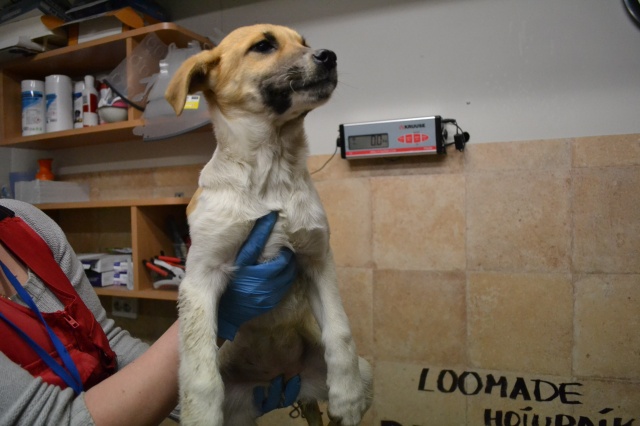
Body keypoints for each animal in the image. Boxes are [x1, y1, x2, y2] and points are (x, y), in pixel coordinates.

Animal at [165, 24, 373, 426]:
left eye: (304, 43)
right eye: (263, 46)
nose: (329, 56)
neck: (270, 168)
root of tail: (280, 379)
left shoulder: (317, 259)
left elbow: (341, 331)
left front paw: (347, 395)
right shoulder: (200, 277)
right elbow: (199, 371)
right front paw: (200, 414)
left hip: (351, 372)